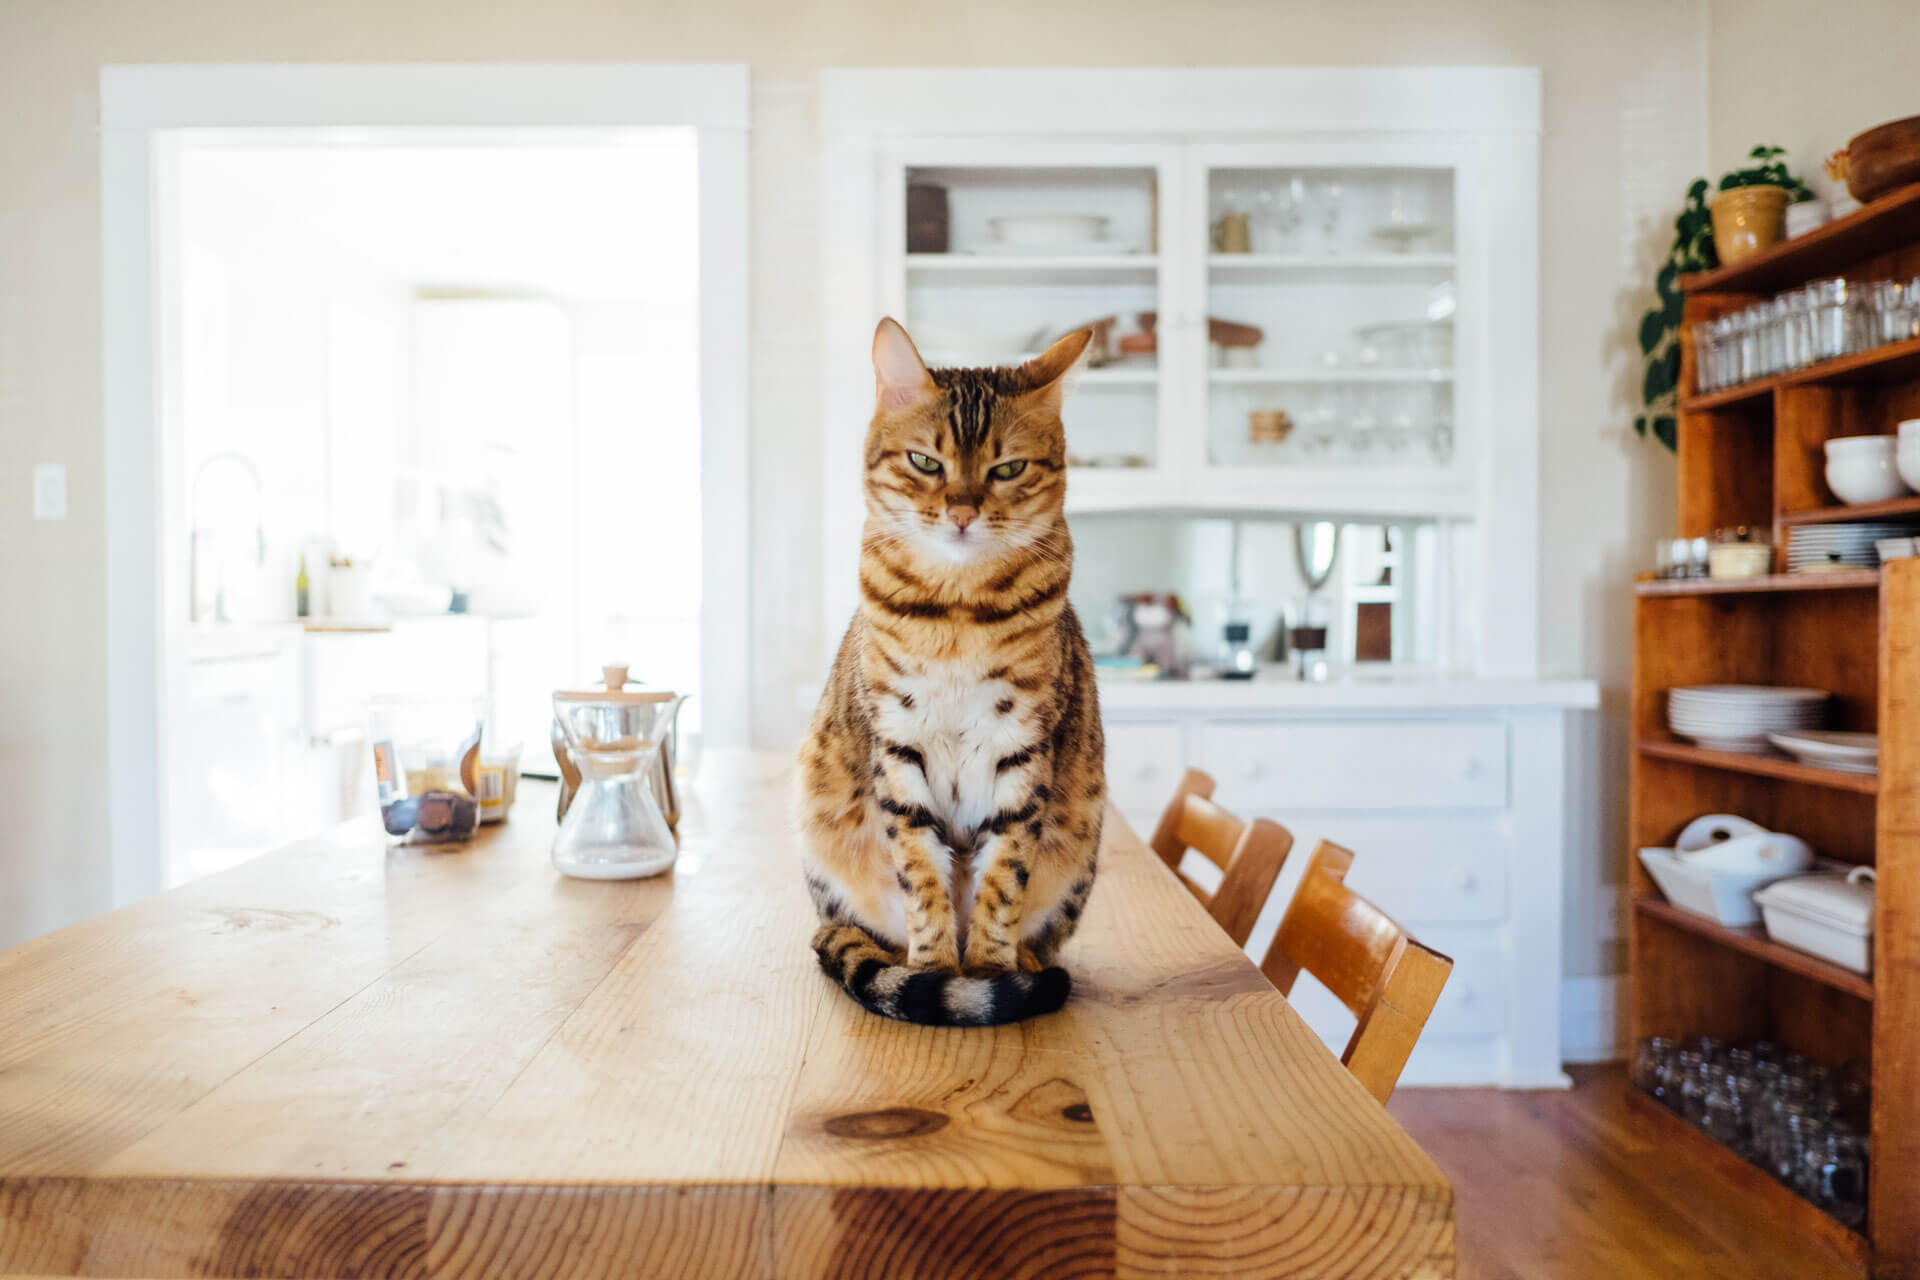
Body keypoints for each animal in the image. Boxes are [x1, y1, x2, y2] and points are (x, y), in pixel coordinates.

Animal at [791, 320, 1098, 1028]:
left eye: (1008, 468)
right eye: (926, 462)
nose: (961, 512)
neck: (958, 612)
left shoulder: (1022, 748)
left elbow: (1004, 876)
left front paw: (988, 971)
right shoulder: (898, 744)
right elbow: (921, 873)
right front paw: (934, 971)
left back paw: (1027, 964)